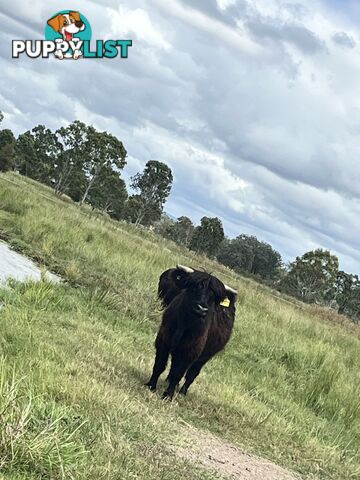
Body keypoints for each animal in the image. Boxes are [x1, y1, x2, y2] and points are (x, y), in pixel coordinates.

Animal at [146, 264, 236, 400]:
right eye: (193, 287)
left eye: (214, 297)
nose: (202, 309)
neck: (184, 323)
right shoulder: (163, 339)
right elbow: (159, 364)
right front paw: (151, 385)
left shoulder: (190, 350)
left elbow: (178, 373)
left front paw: (168, 395)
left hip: (204, 358)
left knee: (191, 374)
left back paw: (182, 391)